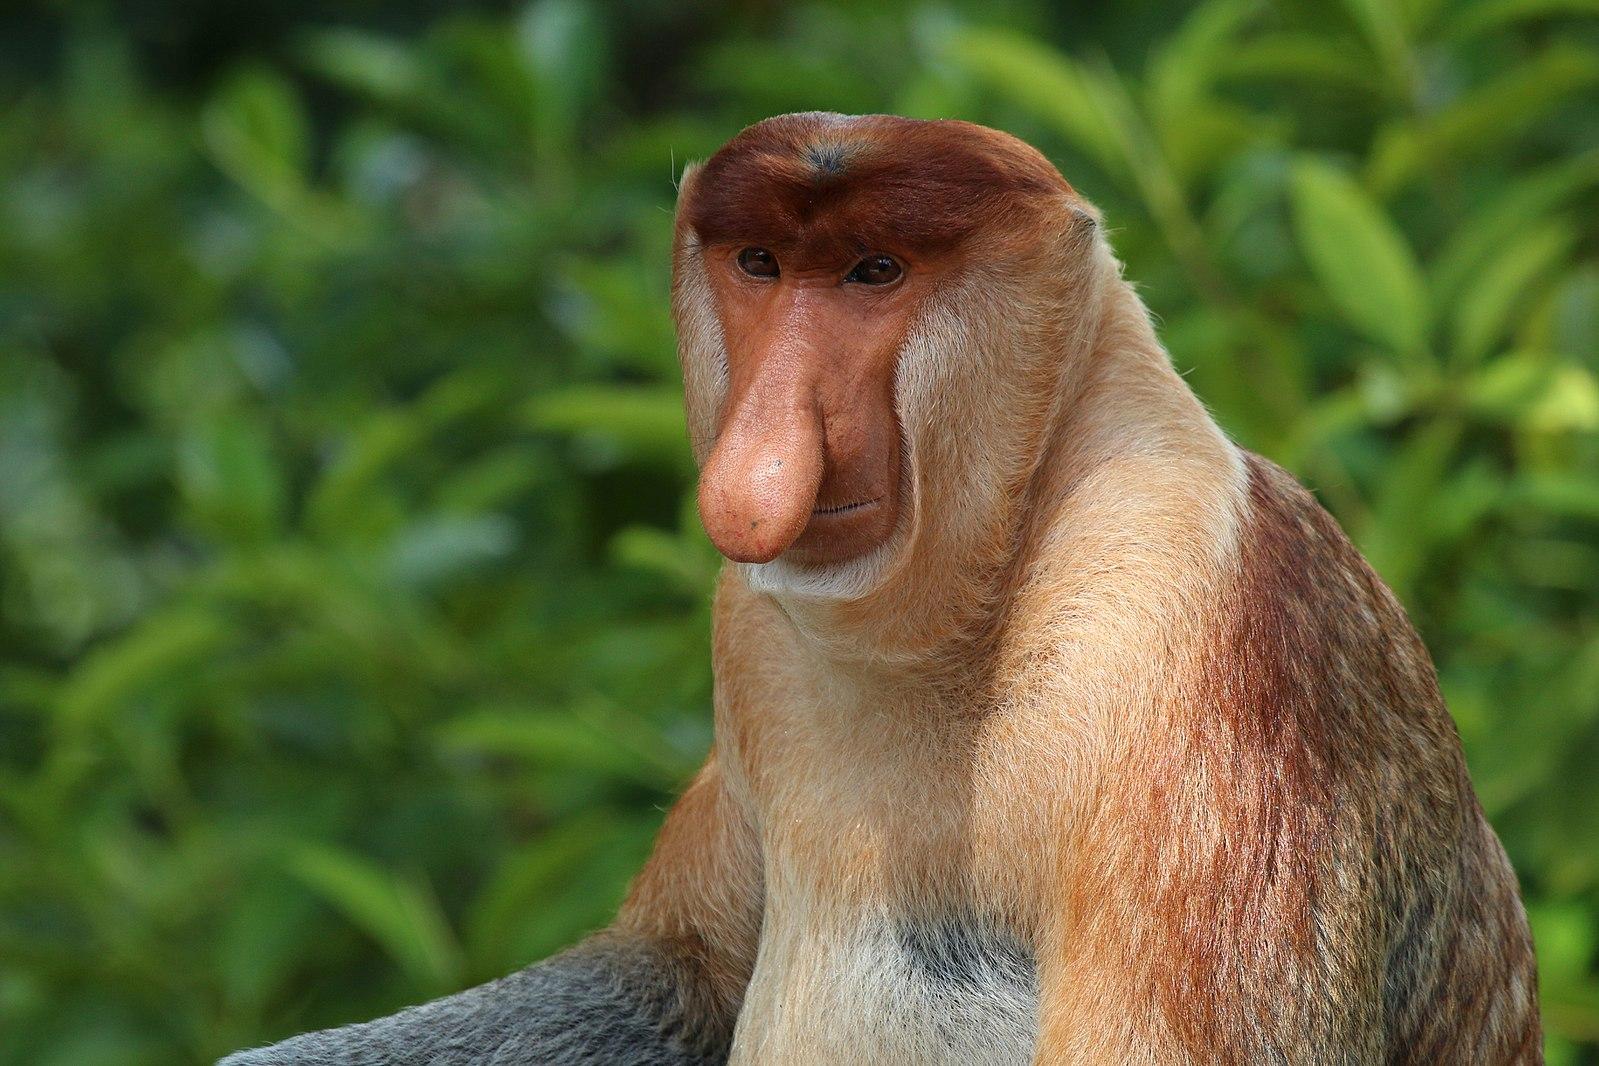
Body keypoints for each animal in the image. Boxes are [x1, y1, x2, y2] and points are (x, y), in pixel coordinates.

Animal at [222, 115, 1535, 1066]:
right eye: (759, 265)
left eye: (874, 272)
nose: (757, 464)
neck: (976, 595)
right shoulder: (750, 638)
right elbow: (674, 969)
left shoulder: (1204, 628)